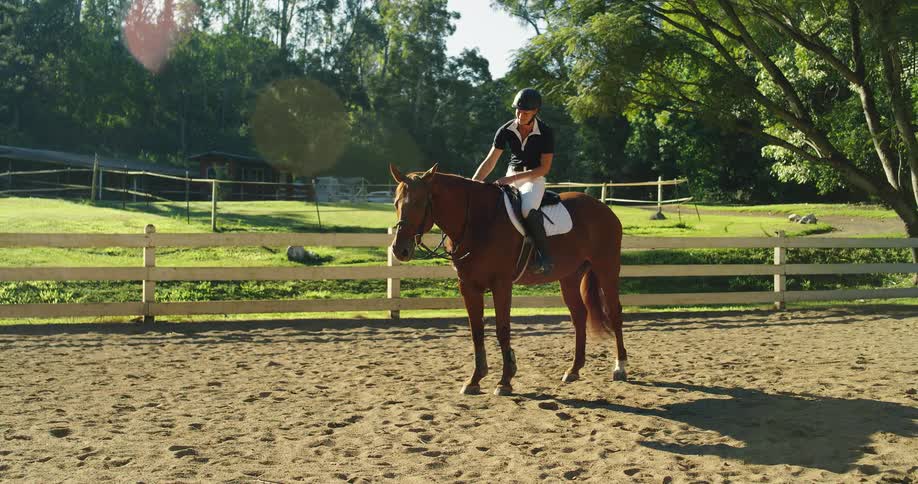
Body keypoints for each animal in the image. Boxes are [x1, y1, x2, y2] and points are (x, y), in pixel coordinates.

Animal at [388, 164, 627, 396]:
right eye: (396, 203)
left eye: (419, 203)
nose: (400, 250)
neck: (477, 221)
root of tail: (603, 208)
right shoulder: (468, 287)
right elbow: (477, 331)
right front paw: (475, 380)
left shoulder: (501, 284)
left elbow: (502, 330)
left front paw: (505, 381)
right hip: (569, 277)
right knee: (579, 316)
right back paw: (574, 369)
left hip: (607, 269)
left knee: (614, 312)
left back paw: (620, 367)